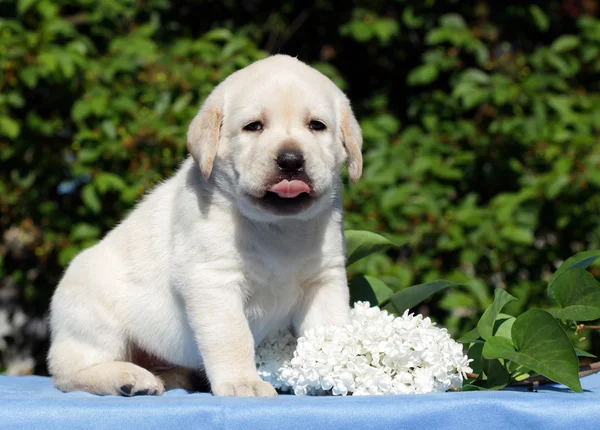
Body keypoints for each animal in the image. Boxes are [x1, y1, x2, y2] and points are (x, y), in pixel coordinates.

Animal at [48, 55, 360, 398]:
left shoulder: (324, 280)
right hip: (93, 318)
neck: (278, 227)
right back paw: (127, 378)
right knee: (68, 373)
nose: (291, 160)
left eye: (317, 125)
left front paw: (337, 373)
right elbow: (233, 337)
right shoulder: (213, 281)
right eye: (254, 126)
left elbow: (329, 333)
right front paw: (243, 382)